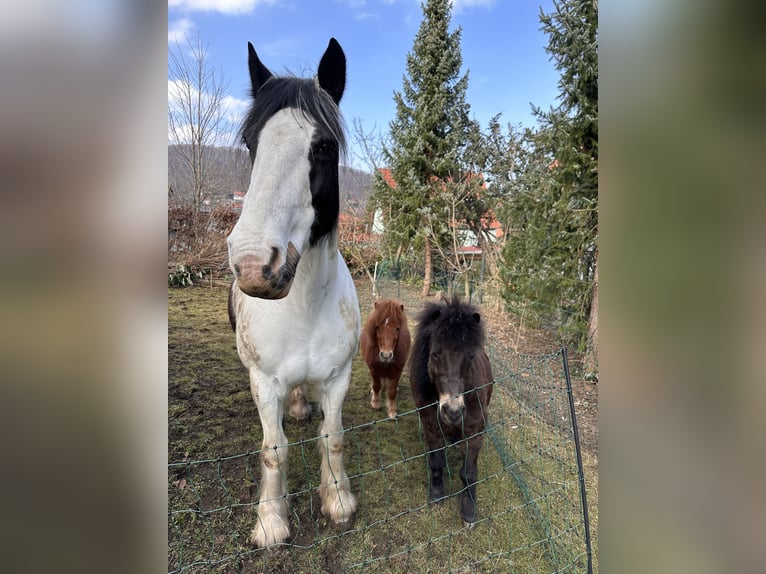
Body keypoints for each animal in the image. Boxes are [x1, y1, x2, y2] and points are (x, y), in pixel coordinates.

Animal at [226, 38, 362, 552]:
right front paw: (270, 521)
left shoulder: (340, 376)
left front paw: (338, 500)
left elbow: (333, 436)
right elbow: (274, 449)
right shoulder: (264, 382)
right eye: (252, 144)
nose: (251, 264)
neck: (303, 308)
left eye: (323, 147)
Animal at [412, 300, 496, 528]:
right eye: (435, 354)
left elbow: (468, 473)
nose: (453, 411)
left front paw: (469, 511)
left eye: (471, 356)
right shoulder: (432, 428)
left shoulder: (475, 432)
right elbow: (436, 462)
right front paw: (437, 494)